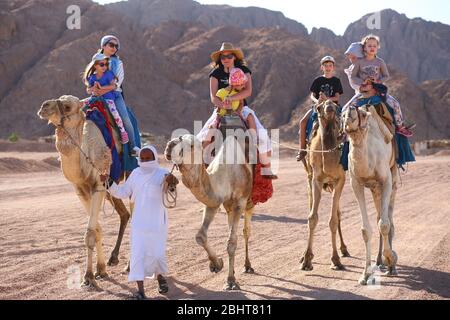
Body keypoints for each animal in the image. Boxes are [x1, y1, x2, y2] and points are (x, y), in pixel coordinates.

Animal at [37, 95, 130, 290]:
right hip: (111, 189)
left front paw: (88, 277)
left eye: (67, 106)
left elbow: (90, 233)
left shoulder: (98, 185)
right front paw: (100, 270)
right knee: (124, 214)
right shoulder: (80, 190)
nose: (43, 107)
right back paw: (113, 258)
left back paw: (129, 266)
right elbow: (97, 229)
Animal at [164, 133, 255, 290]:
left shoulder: (240, 202)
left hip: (250, 202)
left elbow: (232, 242)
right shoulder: (213, 203)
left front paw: (230, 281)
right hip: (228, 207)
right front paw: (217, 264)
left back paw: (247, 265)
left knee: (246, 231)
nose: (170, 145)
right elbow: (201, 236)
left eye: (192, 145)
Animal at [300, 101, 350, 272]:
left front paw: (335, 260)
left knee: (339, 214)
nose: (329, 106)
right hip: (309, 179)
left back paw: (344, 249)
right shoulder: (316, 179)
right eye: (319, 106)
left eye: (336, 105)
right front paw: (306, 260)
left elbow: (333, 220)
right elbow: (312, 217)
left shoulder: (340, 180)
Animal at [344, 96, 398, 284]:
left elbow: (384, 224)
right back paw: (379, 260)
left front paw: (391, 258)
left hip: (393, 180)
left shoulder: (386, 181)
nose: (349, 112)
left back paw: (390, 265)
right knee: (378, 216)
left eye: (362, 114)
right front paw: (365, 274)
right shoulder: (356, 184)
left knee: (389, 219)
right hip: (375, 190)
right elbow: (366, 230)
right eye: (342, 114)